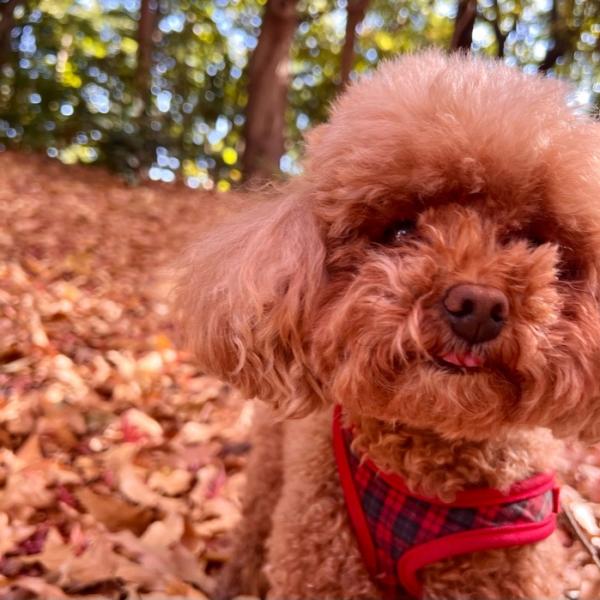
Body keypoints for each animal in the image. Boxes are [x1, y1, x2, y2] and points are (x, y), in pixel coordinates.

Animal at [176, 51, 600, 599]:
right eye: (399, 232)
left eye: (531, 239)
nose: (478, 305)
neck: (430, 472)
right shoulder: (322, 561)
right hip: (269, 465)